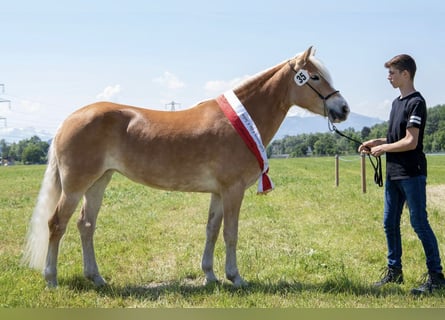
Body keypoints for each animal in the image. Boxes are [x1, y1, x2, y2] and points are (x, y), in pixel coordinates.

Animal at [23, 47, 350, 288]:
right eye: (315, 77)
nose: (343, 108)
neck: (240, 121)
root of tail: (69, 120)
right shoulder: (233, 191)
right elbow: (231, 233)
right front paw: (236, 277)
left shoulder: (218, 192)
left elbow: (212, 230)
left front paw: (210, 275)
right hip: (75, 186)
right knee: (57, 224)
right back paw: (51, 279)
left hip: (98, 183)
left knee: (85, 225)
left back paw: (96, 277)